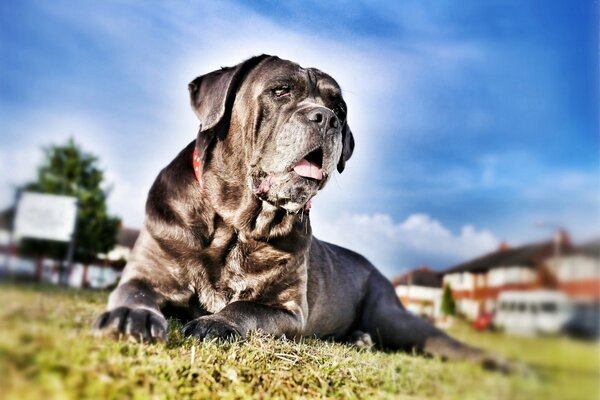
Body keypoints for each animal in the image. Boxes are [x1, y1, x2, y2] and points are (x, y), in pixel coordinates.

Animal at [94, 54, 504, 368]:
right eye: (280, 91)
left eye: (339, 107)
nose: (327, 118)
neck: (235, 225)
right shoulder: (147, 272)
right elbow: (134, 292)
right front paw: (131, 316)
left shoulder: (288, 309)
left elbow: (246, 309)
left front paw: (217, 323)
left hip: (393, 316)